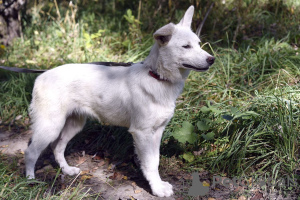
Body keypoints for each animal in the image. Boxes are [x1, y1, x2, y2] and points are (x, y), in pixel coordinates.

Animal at [25, 5, 213, 197]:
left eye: (198, 44)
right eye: (186, 46)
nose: (211, 59)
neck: (157, 77)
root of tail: (40, 77)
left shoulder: (157, 131)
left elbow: (156, 160)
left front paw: (158, 185)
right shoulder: (142, 133)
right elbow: (150, 164)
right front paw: (157, 189)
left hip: (74, 124)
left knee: (57, 148)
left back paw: (67, 170)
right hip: (51, 126)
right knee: (31, 151)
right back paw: (30, 180)